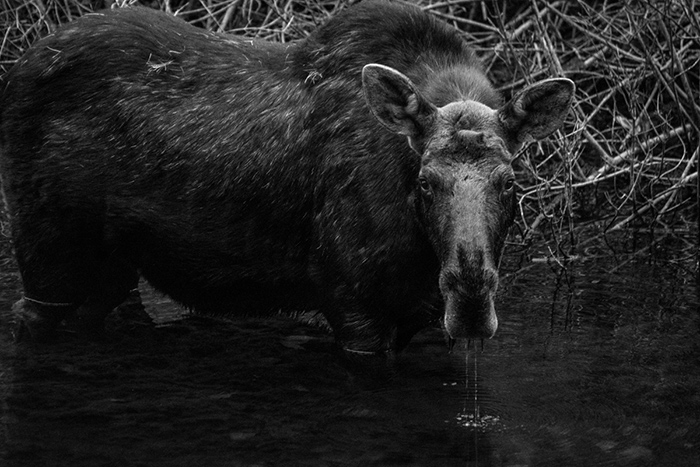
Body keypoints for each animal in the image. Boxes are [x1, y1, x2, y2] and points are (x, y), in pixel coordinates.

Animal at [1, 0, 576, 354]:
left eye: (510, 182)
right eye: (425, 181)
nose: (473, 298)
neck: (421, 255)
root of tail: (18, 65)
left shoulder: (421, 315)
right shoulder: (352, 304)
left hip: (115, 268)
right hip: (48, 254)